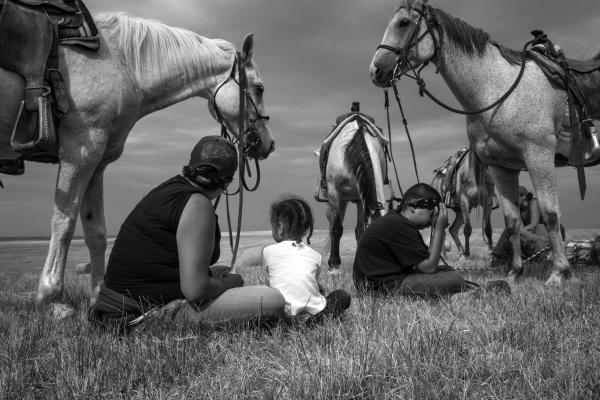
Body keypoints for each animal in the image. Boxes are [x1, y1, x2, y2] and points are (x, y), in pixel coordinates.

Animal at [0, 12, 274, 318]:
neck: (122, 65)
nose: (268, 143)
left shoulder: (97, 159)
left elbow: (95, 230)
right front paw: (52, 300)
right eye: (259, 88)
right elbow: (64, 223)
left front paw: (98, 295)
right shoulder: (80, 148)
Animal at [316, 114, 392, 274]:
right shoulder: (335, 195)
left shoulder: (362, 200)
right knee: (332, 226)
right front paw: (334, 266)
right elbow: (336, 229)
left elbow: (360, 231)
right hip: (332, 201)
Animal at [370, 0, 600, 284]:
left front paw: (559, 273)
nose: (376, 70)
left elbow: (549, 214)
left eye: (403, 23)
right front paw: (514, 272)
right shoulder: (502, 167)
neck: (498, 89)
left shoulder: (539, 156)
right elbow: (511, 221)